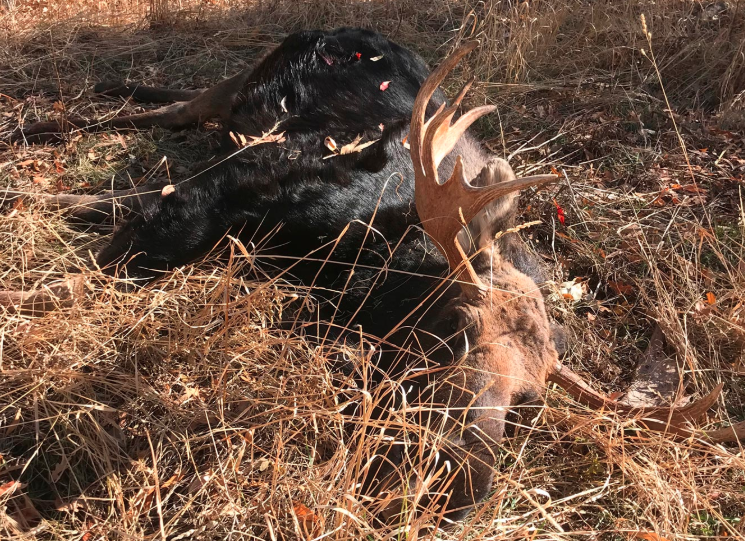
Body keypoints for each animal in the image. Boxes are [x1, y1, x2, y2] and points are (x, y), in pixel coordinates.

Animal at [2, 27, 742, 523]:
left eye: (528, 404)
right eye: (458, 328)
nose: (454, 492)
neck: (364, 253)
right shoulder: (239, 182)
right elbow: (133, 237)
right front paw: (34, 231)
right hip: (243, 85)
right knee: (158, 107)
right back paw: (50, 119)